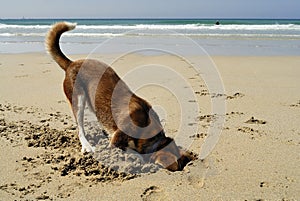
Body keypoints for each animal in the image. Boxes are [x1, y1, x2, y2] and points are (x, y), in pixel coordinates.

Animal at [46, 22, 193, 170]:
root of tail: (71, 63)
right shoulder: (116, 141)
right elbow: (132, 151)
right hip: (78, 100)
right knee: (80, 128)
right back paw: (87, 146)